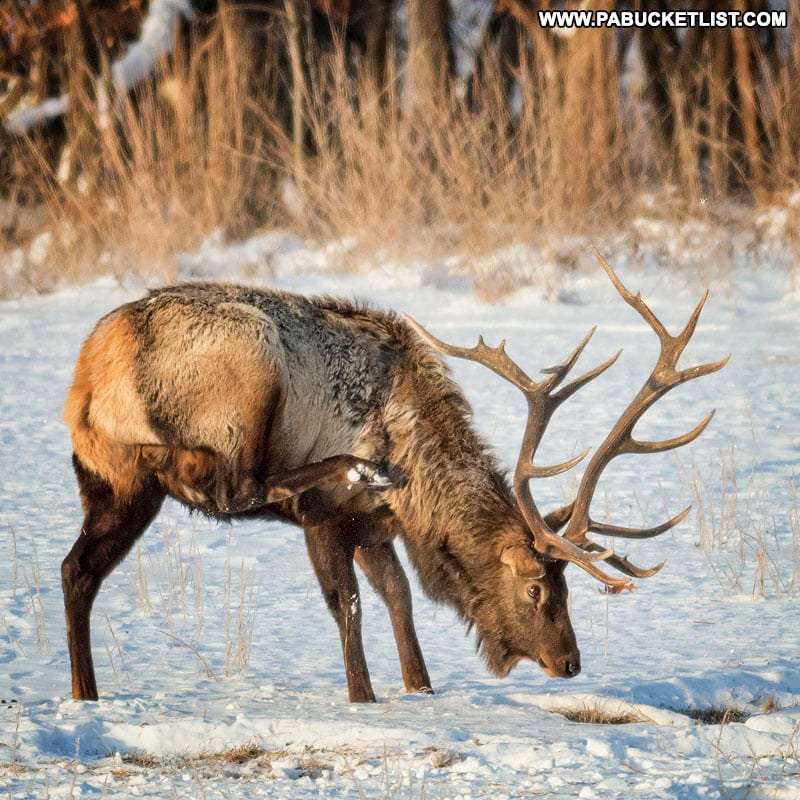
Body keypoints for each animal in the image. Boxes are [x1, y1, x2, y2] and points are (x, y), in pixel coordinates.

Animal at [59, 250, 728, 700]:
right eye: (537, 590)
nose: (571, 662)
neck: (420, 493)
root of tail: (90, 372)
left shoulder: (376, 528)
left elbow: (399, 598)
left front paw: (420, 687)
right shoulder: (329, 517)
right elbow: (348, 605)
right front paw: (365, 696)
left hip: (112, 481)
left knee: (78, 570)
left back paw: (85, 693)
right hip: (249, 362)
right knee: (233, 486)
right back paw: (356, 464)